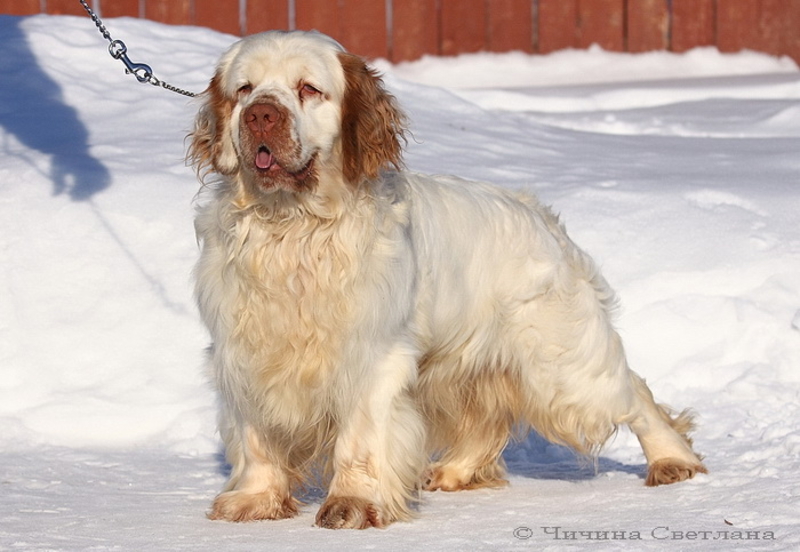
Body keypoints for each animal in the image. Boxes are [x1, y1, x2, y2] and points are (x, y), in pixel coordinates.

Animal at [189, 31, 708, 532]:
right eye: (244, 90)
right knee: (485, 419)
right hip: (463, 362)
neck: (292, 230)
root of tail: (537, 212)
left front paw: (353, 503)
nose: (260, 115)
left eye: (309, 89)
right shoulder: (243, 355)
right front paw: (255, 499)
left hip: (563, 370)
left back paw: (672, 460)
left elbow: (360, 440)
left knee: (634, 393)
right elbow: (255, 437)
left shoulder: (370, 357)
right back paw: (455, 472)